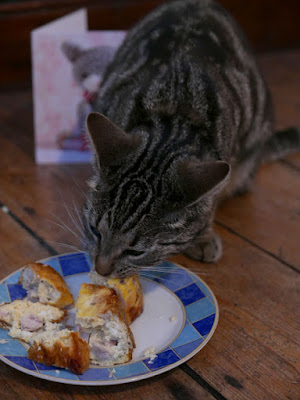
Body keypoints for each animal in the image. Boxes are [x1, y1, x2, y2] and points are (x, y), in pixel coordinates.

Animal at [81, 0, 298, 276]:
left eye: (135, 251)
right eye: (94, 230)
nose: (101, 270)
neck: (175, 110)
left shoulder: (222, 161)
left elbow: (209, 206)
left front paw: (203, 237)